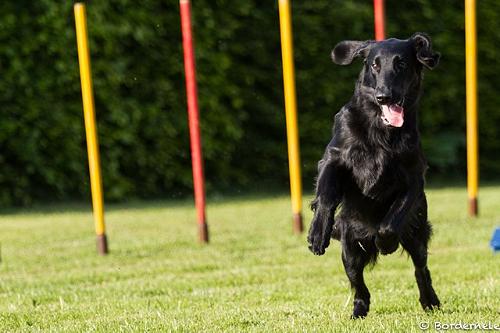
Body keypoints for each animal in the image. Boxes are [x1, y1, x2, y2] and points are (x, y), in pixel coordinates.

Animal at [308, 33, 442, 316]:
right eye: (374, 65)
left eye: (401, 64)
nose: (384, 96)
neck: (381, 129)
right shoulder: (334, 158)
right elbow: (326, 196)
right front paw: (317, 233)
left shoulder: (413, 178)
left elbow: (391, 221)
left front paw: (386, 243)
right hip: (349, 247)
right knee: (358, 283)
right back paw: (359, 310)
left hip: (416, 234)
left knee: (421, 268)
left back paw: (430, 300)